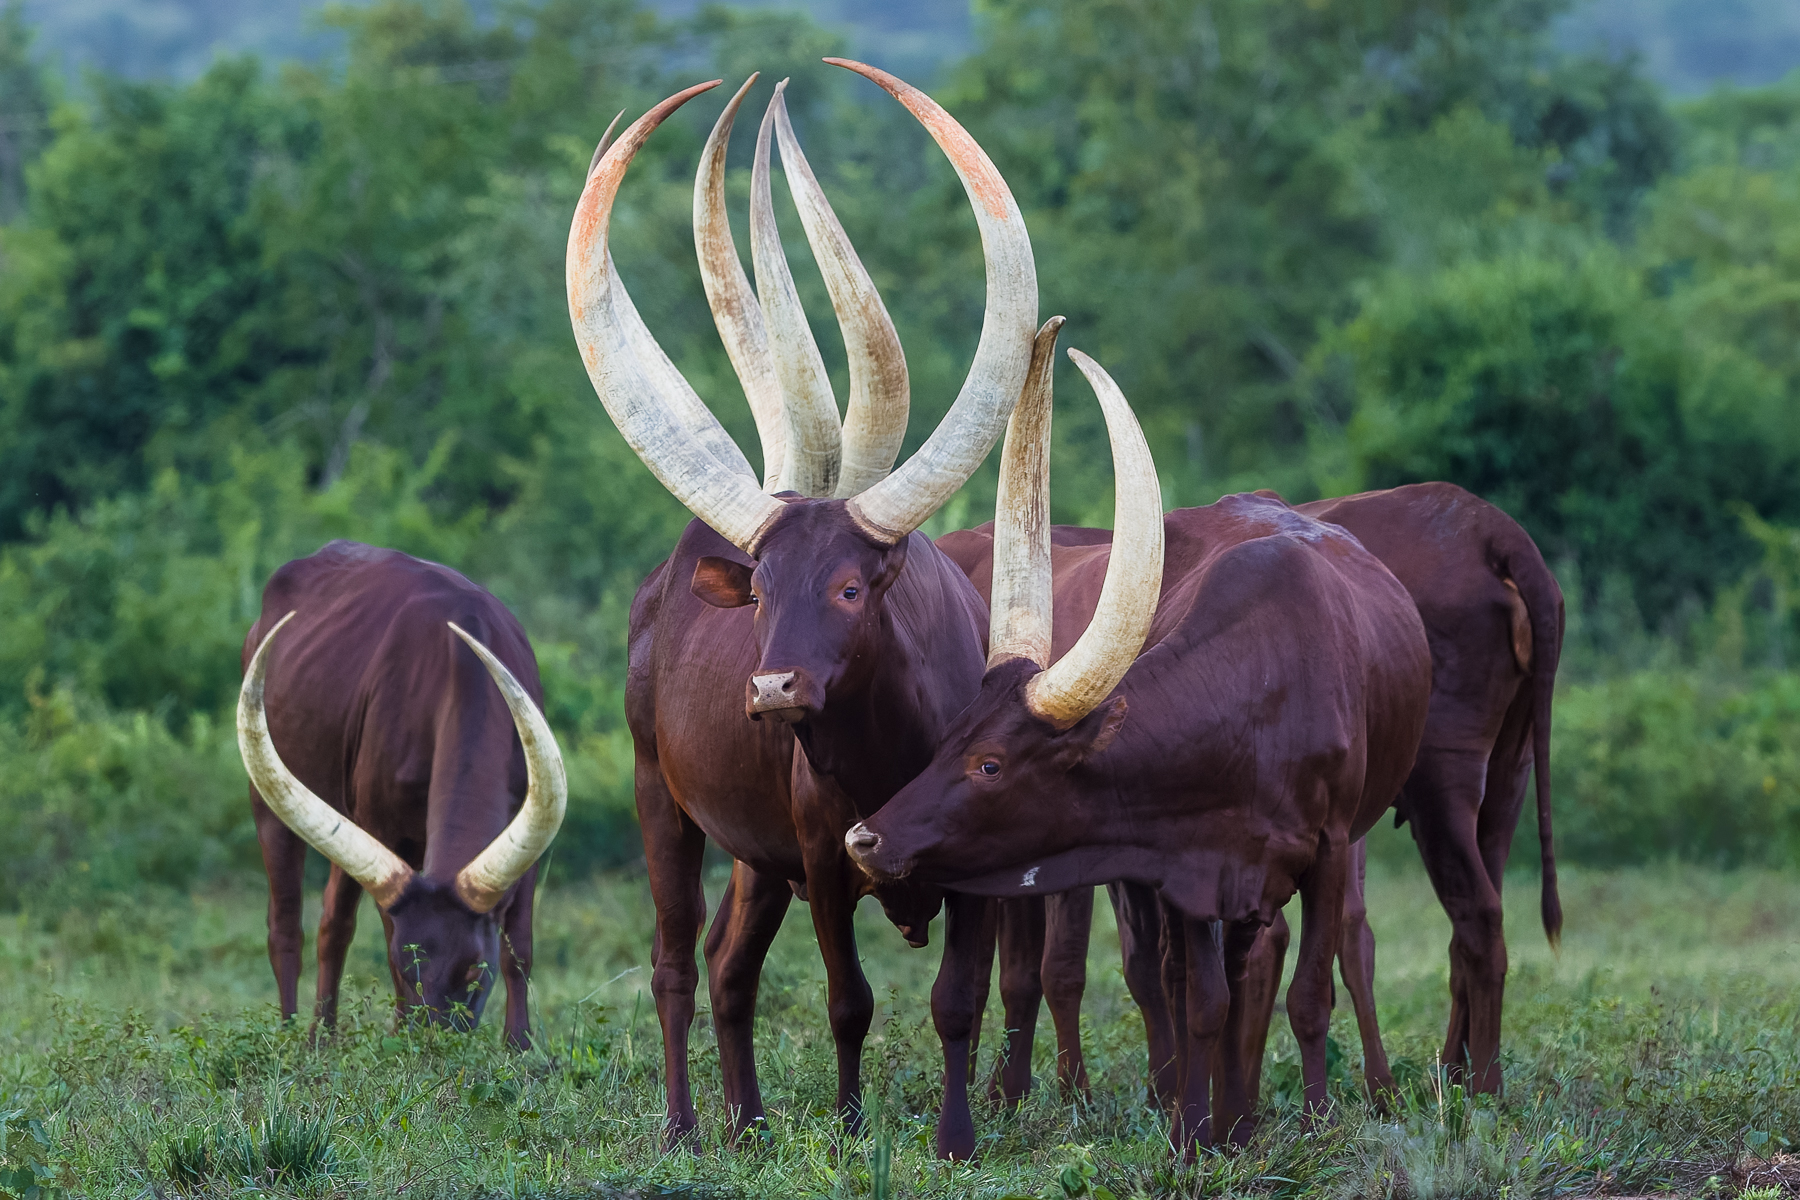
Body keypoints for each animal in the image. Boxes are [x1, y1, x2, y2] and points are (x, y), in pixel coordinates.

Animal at [236, 540, 567, 1050]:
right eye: (405, 969)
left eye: (475, 972)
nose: (434, 1047)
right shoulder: (385, 831)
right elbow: (382, 928)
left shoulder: (525, 843)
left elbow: (520, 949)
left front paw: (521, 1049)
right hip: (272, 804)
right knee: (287, 927)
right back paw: (297, 1035)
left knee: (333, 923)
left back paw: (322, 1035)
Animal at [568, 65, 1050, 1157]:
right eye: (760, 592)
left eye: (849, 587)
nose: (774, 689)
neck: (884, 742)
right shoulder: (826, 859)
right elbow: (849, 1001)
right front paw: (849, 1128)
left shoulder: (970, 866)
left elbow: (959, 1000)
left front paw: (956, 1138)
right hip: (660, 801)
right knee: (674, 963)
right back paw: (686, 1127)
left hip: (756, 856)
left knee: (728, 964)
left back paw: (747, 1120)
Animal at [844, 344, 1434, 1154]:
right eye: (948, 740)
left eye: (990, 763)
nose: (864, 838)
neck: (1261, 690)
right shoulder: (1189, 866)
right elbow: (1203, 1001)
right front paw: (1195, 1135)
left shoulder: (1330, 849)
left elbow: (1311, 995)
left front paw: (1310, 1128)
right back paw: (1233, 1114)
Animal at [941, 481, 1565, 1103]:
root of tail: (1493, 531)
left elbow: (1054, 968)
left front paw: (1044, 1091)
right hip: (1503, 781)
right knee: (1450, 927)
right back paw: (1446, 1076)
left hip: (1440, 781)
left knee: (1467, 918)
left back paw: (1467, 1086)